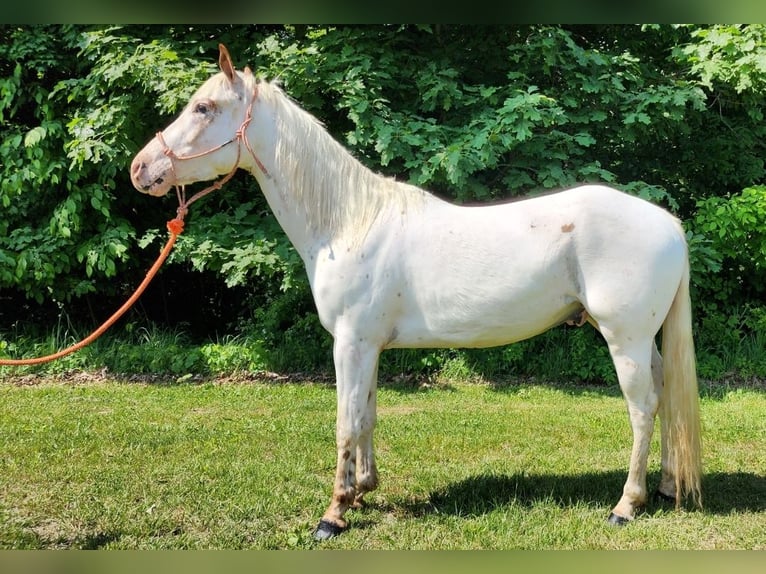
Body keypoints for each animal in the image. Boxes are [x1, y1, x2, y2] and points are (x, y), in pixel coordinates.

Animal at [130, 44, 704, 540]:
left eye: (204, 107)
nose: (141, 168)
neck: (348, 223)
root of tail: (668, 225)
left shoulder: (350, 344)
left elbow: (345, 424)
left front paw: (333, 514)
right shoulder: (367, 347)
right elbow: (366, 416)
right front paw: (363, 490)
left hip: (625, 340)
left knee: (643, 407)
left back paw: (626, 505)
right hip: (643, 342)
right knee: (665, 392)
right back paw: (667, 486)